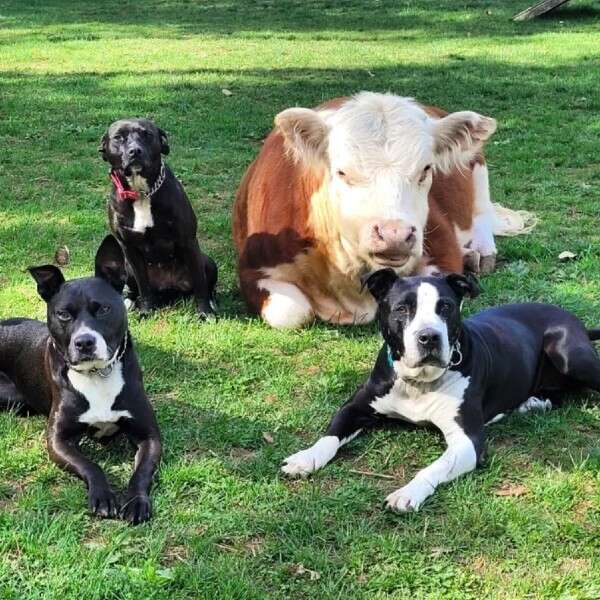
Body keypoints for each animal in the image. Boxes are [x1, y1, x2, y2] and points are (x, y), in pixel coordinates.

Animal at [0, 237, 162, 524]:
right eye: (64, 314)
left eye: (105, 309)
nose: (85, 342)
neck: (97, 374)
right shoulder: (57, 440)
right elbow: (91, 465)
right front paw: (103, 495)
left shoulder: (150, 436)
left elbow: (142, 472)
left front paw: (135, 501)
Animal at [99, 119, 217, 322]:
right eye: (118, 137)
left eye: (147, 134)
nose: (135, 151)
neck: (141, 193)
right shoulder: (128, 248)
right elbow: (144, 286)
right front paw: (146, 310)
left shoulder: (188, 241)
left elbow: (200, 283)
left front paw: (204, 312)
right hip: (127, 267)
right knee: (135, 289)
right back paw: (129, 302)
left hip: (208, 262)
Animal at [232, 92, 532, 330]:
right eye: (342, 172)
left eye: (426, 169)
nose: (394, 235)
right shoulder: (254, 268)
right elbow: (291, 312)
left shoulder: (442, 249)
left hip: (477, 164)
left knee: (481, 213)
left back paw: (480, 251)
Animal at [282, 270, 600, 510]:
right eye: (402, 308)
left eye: (445, 307)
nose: (429, 337)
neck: (419, 383)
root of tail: (575, 320)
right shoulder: (357, 406)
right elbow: (330, 435)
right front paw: (305, 458)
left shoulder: (468, 441)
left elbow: (433, 467)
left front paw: (408, 493)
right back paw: (533, 402)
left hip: (570, 354)